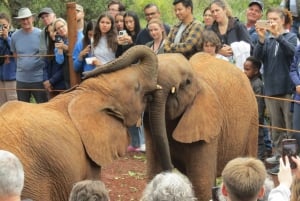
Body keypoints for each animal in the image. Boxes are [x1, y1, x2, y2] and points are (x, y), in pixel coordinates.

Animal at [145, 52, 258, 200]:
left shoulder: (207, 128)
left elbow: (201, 184)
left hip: (253, 118)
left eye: (187, 82)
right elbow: (153, 172)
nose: (170, 168)